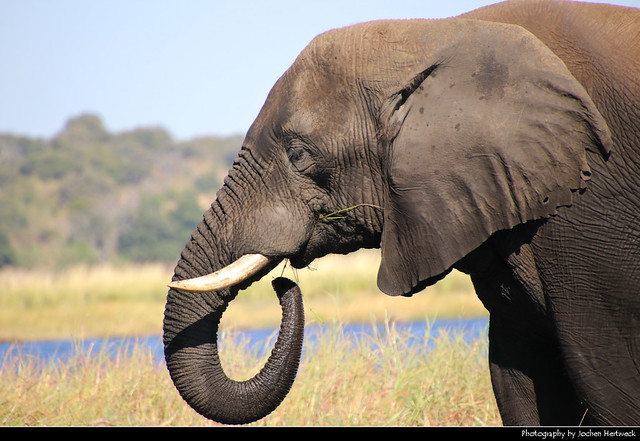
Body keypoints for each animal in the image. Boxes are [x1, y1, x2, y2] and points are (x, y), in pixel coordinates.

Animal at [164, 0, 640, 426]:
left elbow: (611, 376)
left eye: (298, 155)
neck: (437, 32)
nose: (283, 285)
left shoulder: (591, 205)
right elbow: (519, 376)